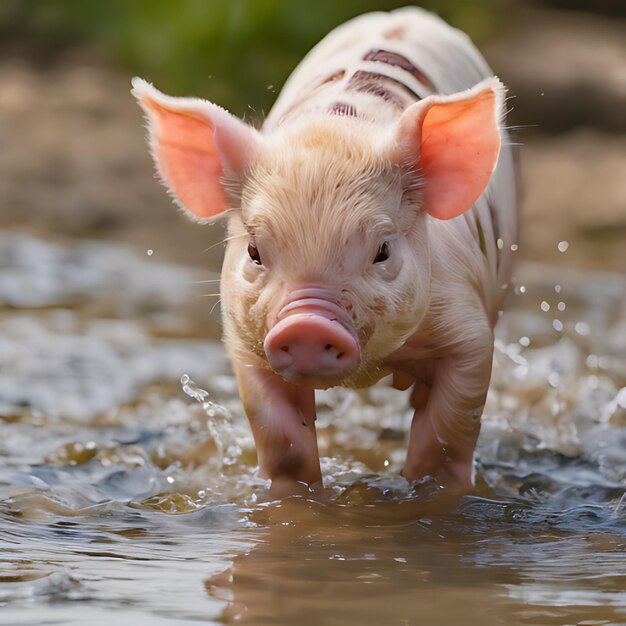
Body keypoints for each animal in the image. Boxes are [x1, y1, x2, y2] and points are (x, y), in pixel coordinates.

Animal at [132, 4, 516, 492]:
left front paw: (430, 491)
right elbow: (282, 440)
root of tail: (408, 13)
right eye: (254, 251)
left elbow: (446, 432)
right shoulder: (243, 341)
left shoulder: (468, 329)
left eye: (383, 251)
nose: (307, 326)